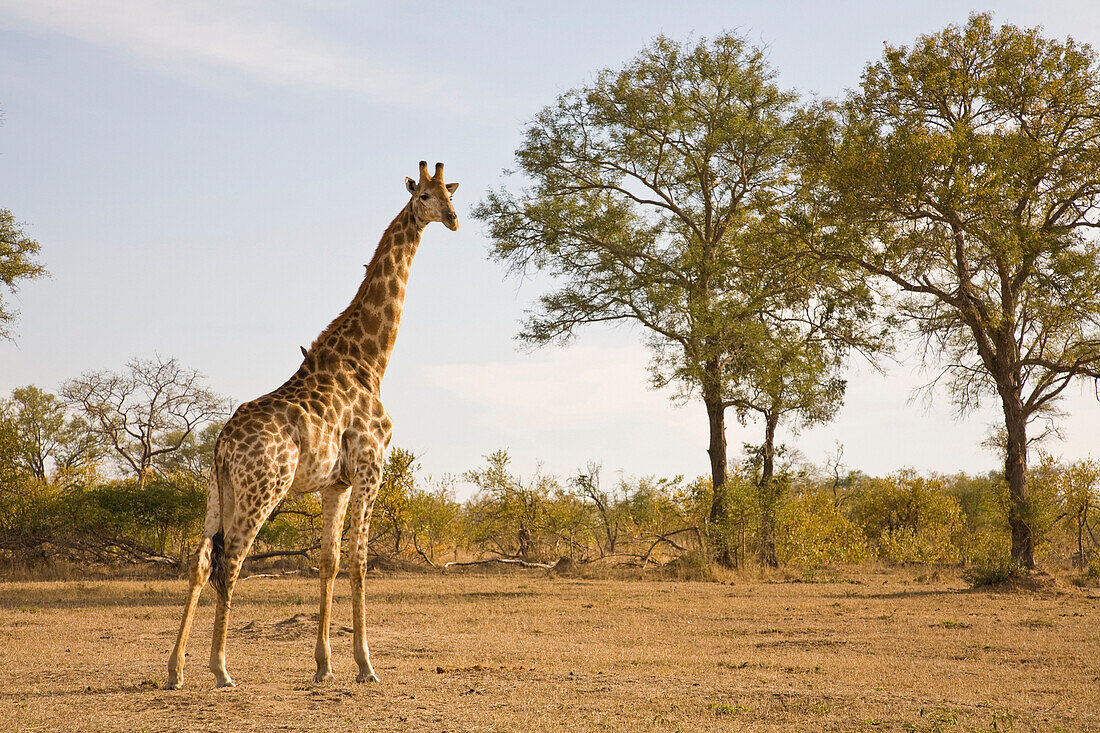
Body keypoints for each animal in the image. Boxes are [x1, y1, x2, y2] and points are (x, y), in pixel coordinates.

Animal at [165, 158, 457, 686]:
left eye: (451, 193)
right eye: (423, 195)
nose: (452, 219)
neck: (370, 361)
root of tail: (222, 444)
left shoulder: (334, 483)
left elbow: (328, 561)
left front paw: (324, 665)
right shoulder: (369, 469)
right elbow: (360, 561)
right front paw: (365, 665)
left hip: (218, 490)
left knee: (199, 562)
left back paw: (175, 670)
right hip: (264, 487)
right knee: (231, 561)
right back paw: (220, 669)